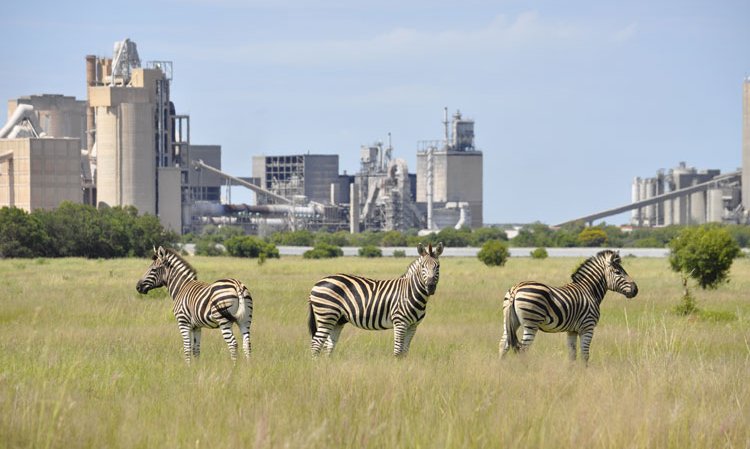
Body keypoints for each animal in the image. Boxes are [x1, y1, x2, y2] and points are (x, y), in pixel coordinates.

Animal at [308, 242, 444, 358]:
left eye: (438, 266)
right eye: (422, 266)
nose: (430, 287)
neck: (410, 292)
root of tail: (317, 283)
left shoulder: (413, 326)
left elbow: (405, 351)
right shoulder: (400, 322)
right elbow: (398, 351)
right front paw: (397, 369)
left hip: (337, 320)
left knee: (329, 344)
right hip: (327, 315)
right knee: (316, 343)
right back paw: (317, 366)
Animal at [499, 249, 638, 363]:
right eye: (618, 272)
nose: (636, 290)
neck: (589, 290)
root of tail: (516, 289)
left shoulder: (572, 330)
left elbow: (572, 354)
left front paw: (572, 375)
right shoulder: (588, 327)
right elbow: (585, 355)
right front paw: (583, 374)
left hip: (510, 322)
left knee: (503, 345)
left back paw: (502, 369)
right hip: (531, 323)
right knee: (523, 349)